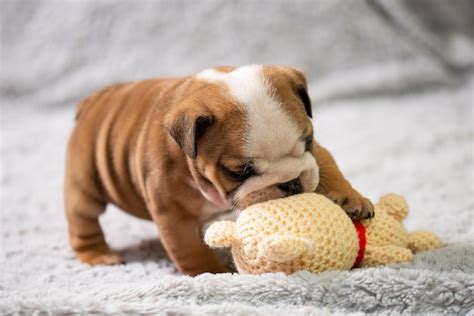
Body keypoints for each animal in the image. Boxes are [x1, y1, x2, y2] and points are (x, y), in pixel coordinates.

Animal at [64, 65, 374, 276]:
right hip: (84, 185)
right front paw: (214, 275)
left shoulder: (315, 153)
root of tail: (92, 101)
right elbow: (190, 250)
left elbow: (327, 166)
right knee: (83, 220)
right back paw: (100, 256)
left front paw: (351, 198)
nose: (290, 183)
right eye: (239, 171)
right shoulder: (173, 214)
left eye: (308, 141)